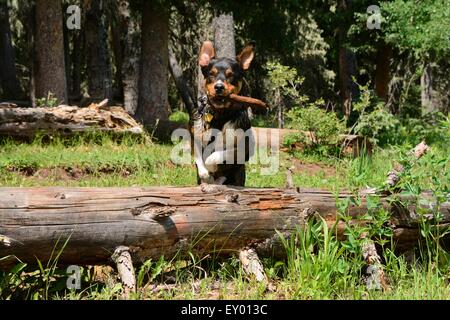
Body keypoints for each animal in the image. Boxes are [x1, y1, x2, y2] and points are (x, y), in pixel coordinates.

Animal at [190, 41, 256, 186]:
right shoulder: (195, 137)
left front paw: (211, 166)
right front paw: (205, 174)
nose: (219, 87)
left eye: (231, 75)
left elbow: (217, 156)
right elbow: (199, 159)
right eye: (211, 74)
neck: (220, 115)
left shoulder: (244, 149)